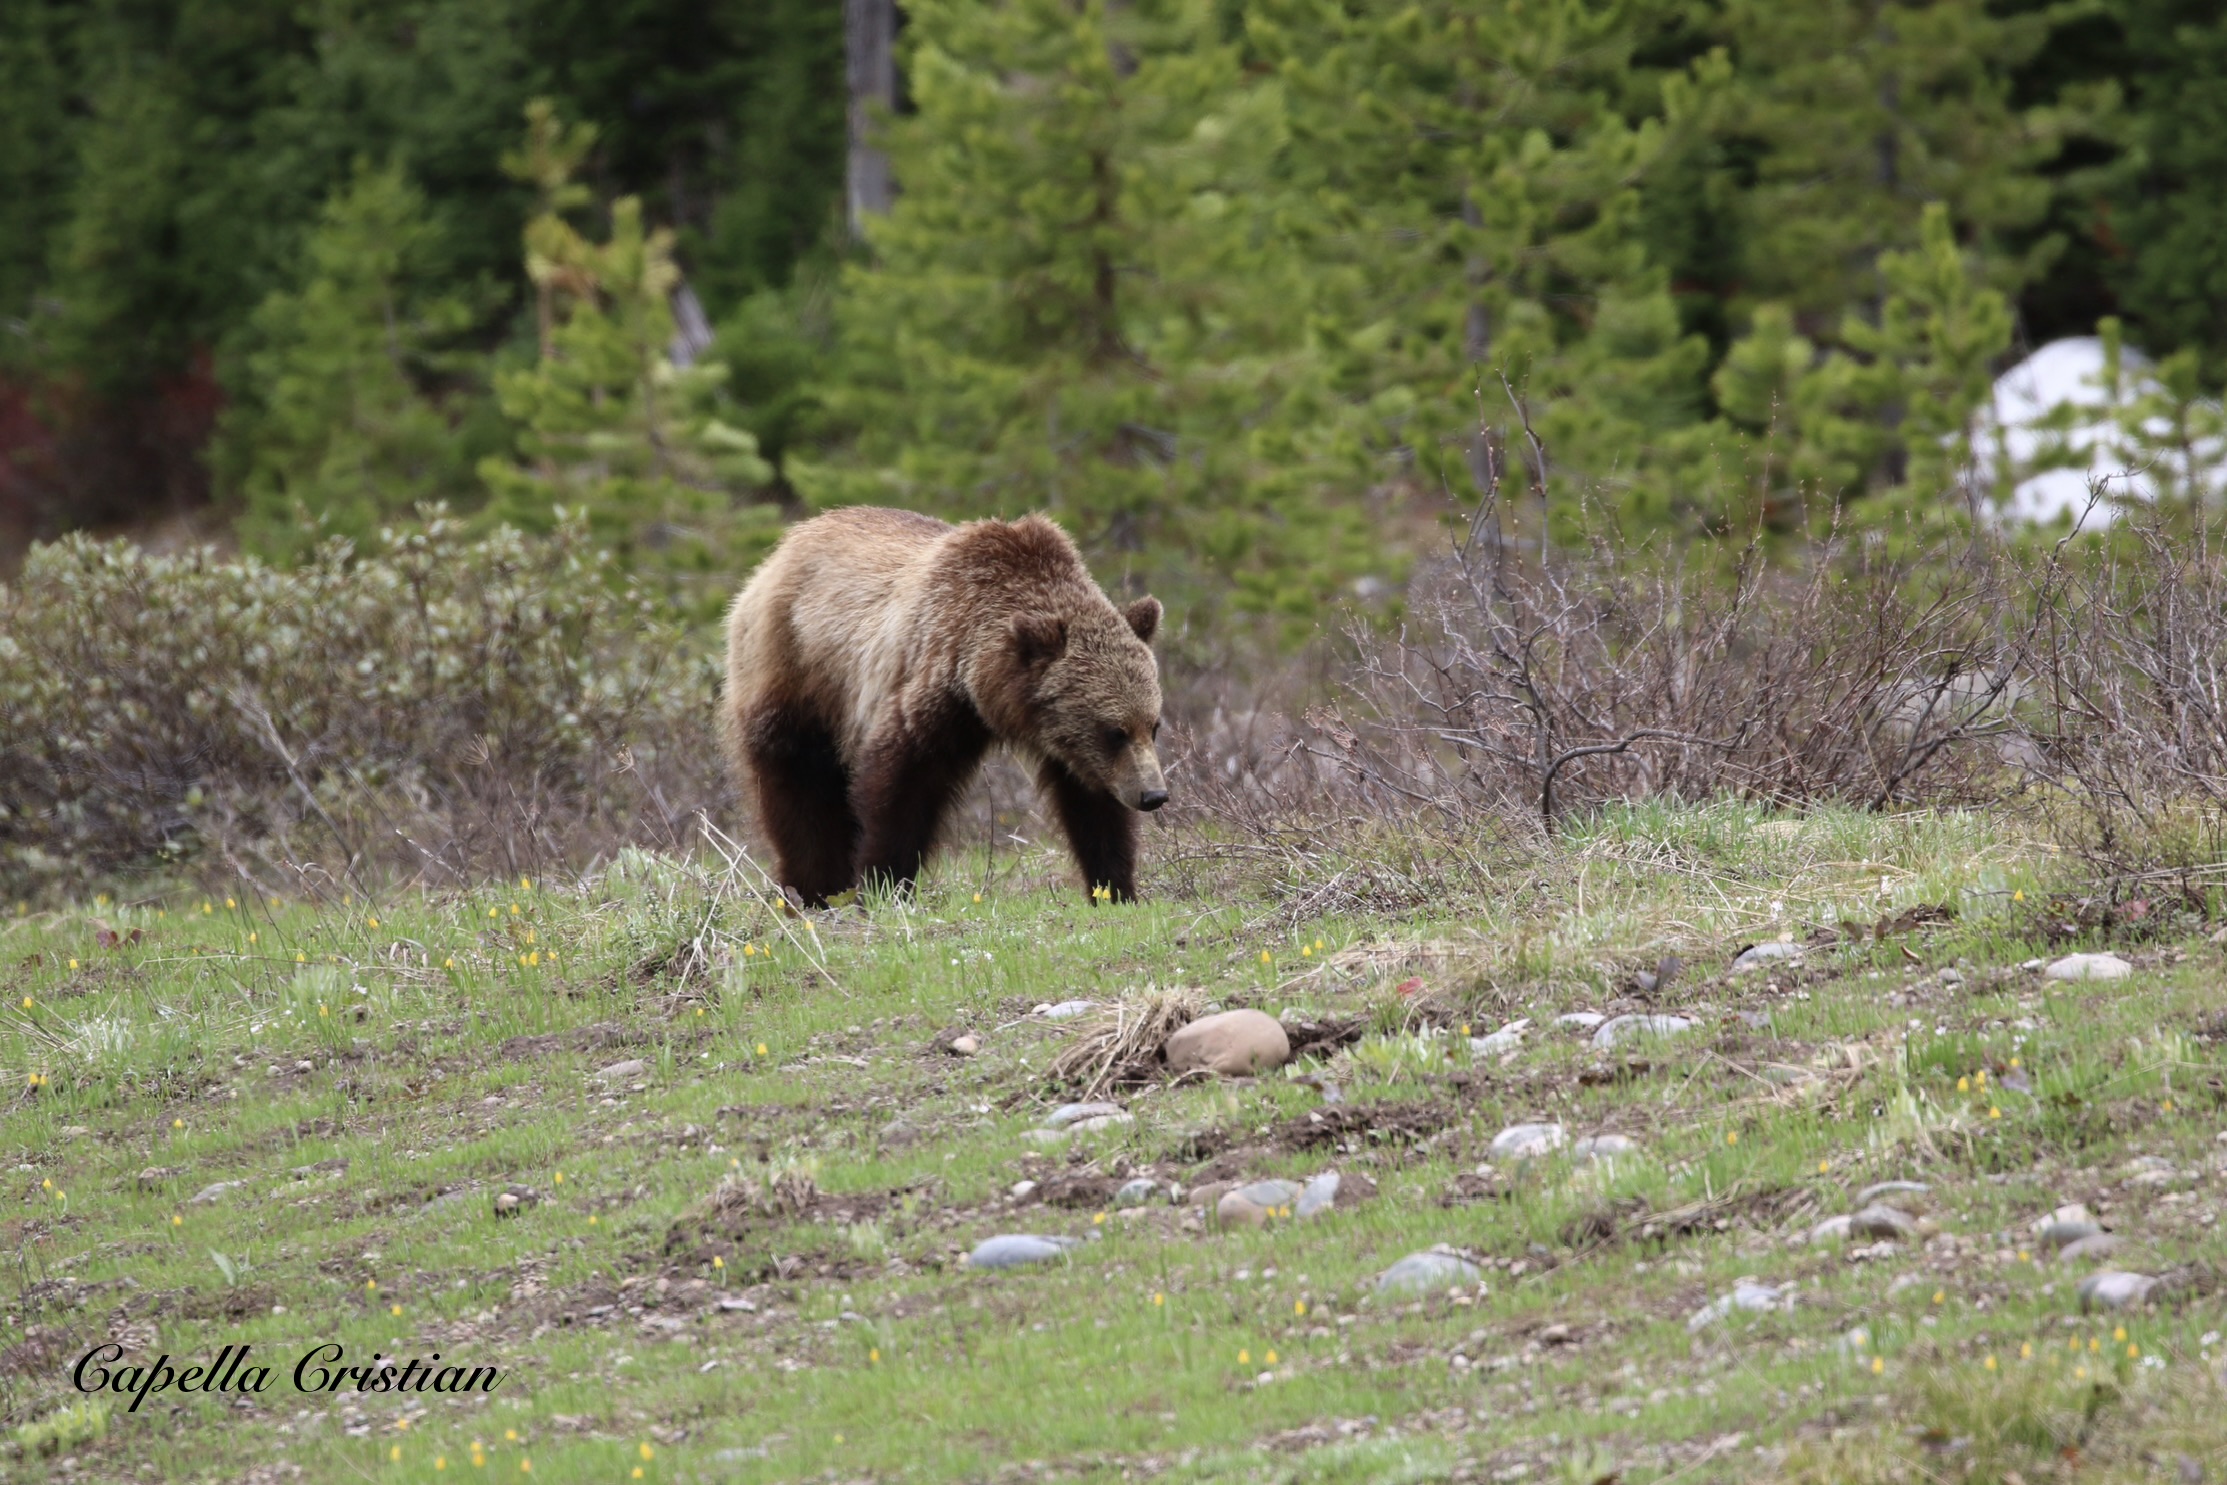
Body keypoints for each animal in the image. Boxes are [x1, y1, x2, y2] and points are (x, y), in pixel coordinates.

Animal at [721, 507, 1168, 905]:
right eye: (1114, 731)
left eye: (1153, 725)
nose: (1154, 794)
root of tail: (779, 551)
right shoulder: (936, 685)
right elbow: (900, 784)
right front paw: (884, 884)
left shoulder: (1063, 742)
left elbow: (1092, 806)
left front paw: (1116, 888)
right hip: (796, 675)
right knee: (799, 789)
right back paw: (814, 890)